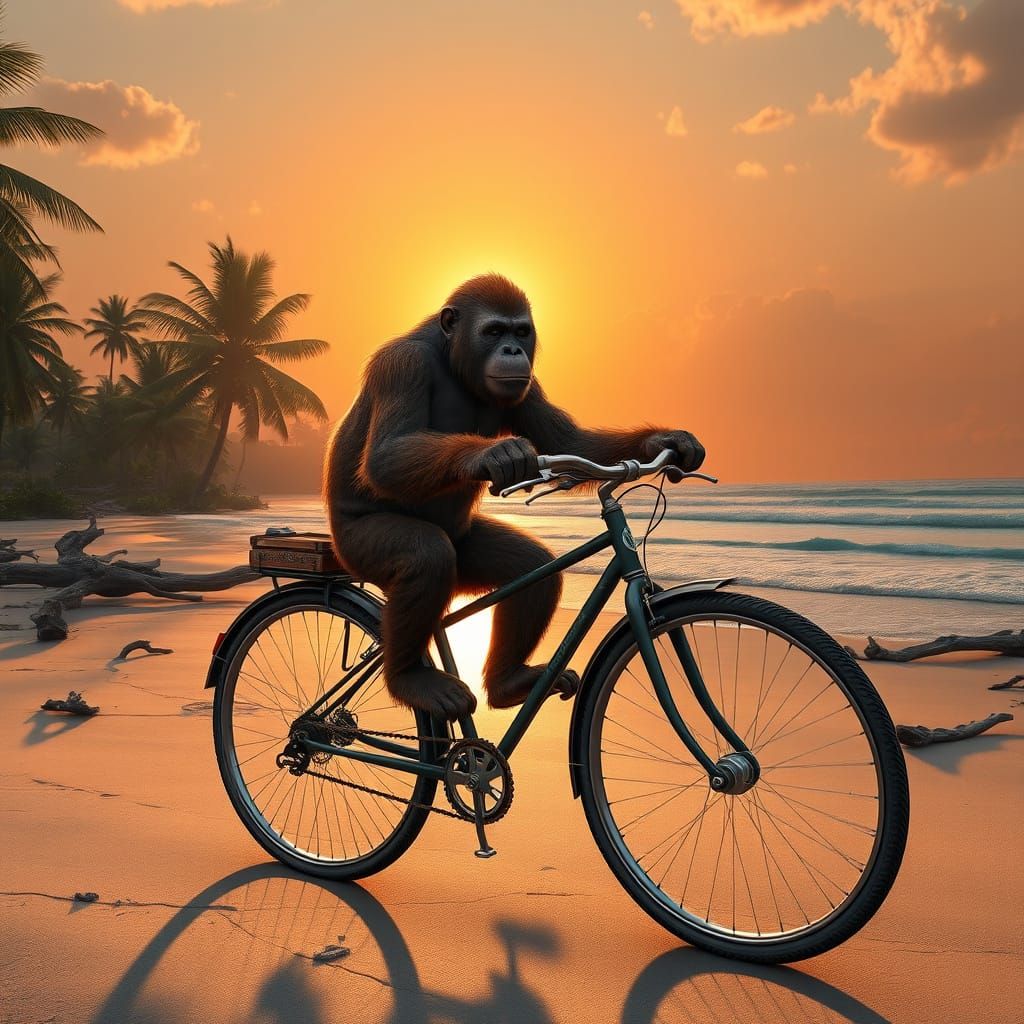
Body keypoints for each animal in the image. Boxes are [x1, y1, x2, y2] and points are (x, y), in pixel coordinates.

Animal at [323, 274, 705, 720]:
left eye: (520, 331)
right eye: (493, 332)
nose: (511, 350)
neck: (454, 362)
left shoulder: (529, 386)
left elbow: (569, 442)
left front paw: (667, 442)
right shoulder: (401, 365)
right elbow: (385, 456)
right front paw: (495, 455)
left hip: (465, 549)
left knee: (530, 566)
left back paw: (509, 683)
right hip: (357, 547)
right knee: (427, 554)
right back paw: (407, 680)